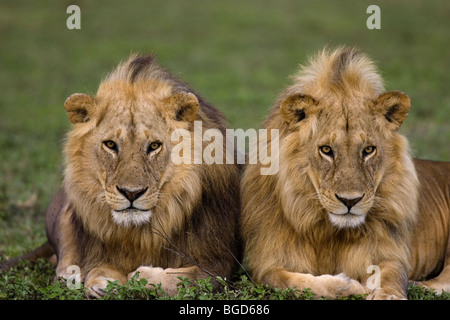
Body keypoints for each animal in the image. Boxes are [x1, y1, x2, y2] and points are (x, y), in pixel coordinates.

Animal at [0, 54, 243, 298]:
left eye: (154, 145)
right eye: (110, 145)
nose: (131, 193)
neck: (140, 232)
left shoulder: (217, 266)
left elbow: (177, 279)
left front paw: (136, 275)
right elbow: (100, 266)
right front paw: (101, 283)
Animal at [243, 47, 450, 300]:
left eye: (368, 150)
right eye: (326, 150)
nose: (350, 201)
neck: (332, 232)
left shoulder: (388, 254)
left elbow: (392, 276)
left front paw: (387, 294)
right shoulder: (267, 264)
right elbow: (291, 280)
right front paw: (349, 286)